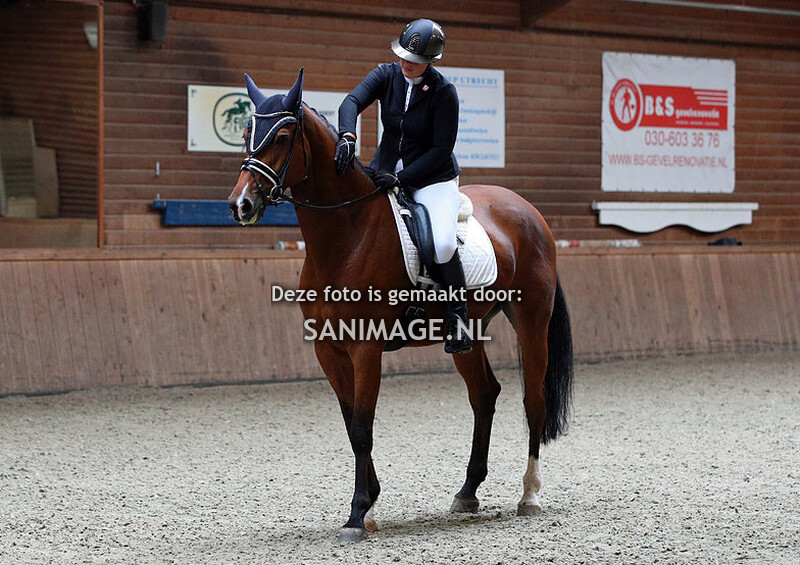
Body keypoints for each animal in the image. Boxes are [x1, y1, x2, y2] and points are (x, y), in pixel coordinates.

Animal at [227, 69, 574, 543]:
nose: (240, 204)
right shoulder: (328, 350)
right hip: (468, 335)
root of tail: (530, 212)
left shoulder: (365, 349)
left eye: (281, 137)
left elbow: (362, 427)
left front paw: (358, 514)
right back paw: (467, 492)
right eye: (247, 133)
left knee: (532, 399)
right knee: (484, 395)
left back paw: (530, 495)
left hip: (532, 322)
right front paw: (369, 504)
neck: (346, 235)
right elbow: (351, 424)